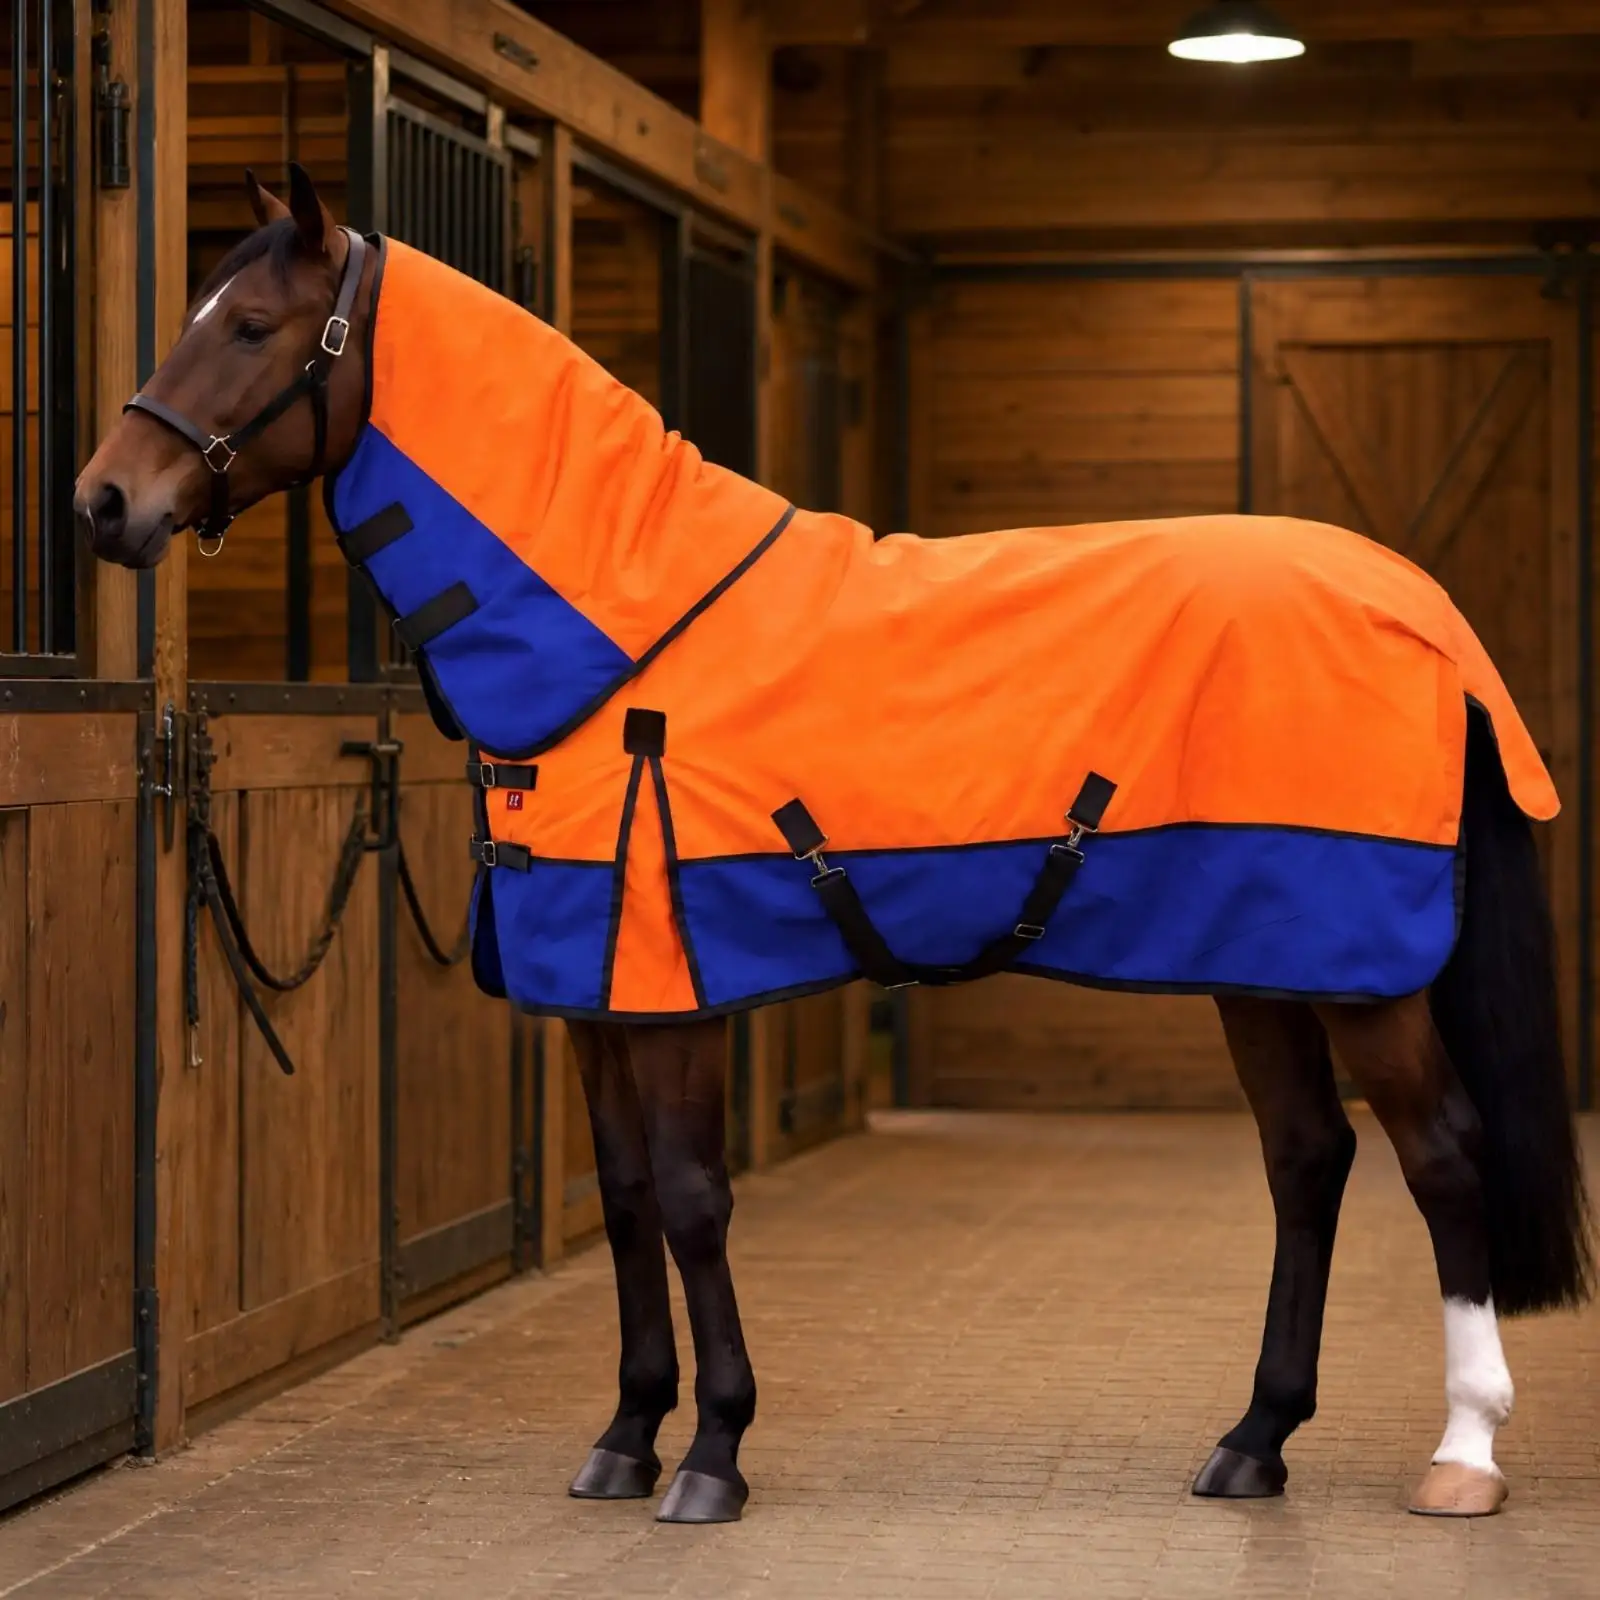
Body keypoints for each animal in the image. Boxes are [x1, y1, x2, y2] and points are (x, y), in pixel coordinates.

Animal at [75, 164, 1592, 1525]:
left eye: (250, 325)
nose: (103, 501)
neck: (621, 637)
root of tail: (1421, 609)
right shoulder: (595, 1000)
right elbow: (624, 1196)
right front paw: (623, 1440)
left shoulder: (675, 987)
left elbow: (693, 1198)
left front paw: (711, 1456)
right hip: (1264, 963)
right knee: (1306, 1163)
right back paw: (1253, 1442)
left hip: (1364, 977)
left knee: (1441, 1155)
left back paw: (1462, 1457)